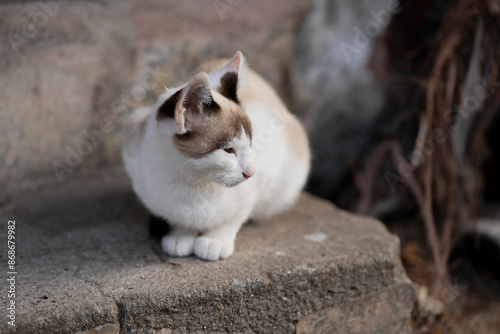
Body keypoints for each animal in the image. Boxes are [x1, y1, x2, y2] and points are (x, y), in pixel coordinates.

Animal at [122, 51, 308, 260]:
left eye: (250, 143)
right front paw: (180, 236)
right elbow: (178, 219)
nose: (250, 172)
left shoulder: (262, 179)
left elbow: (233, 219)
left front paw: (214, 241)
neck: (192, 181)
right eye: (228, 150)